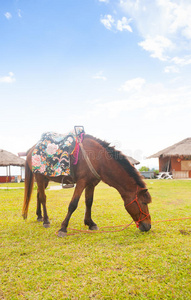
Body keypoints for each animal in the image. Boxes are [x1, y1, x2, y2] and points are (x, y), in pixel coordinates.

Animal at [22, 134, 151, 237]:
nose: (148, 226)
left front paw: (90, 223)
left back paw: (39, 216)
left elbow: (89, 202)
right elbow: (73, 204)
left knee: (38, 195)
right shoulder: (81, 182)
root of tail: (31, 150)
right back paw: (46, 221)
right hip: (39, 177)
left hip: (45, 179)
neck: (98, 159)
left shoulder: (91, 184)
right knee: (43, 198)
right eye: (144, 203)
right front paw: (63, 228)